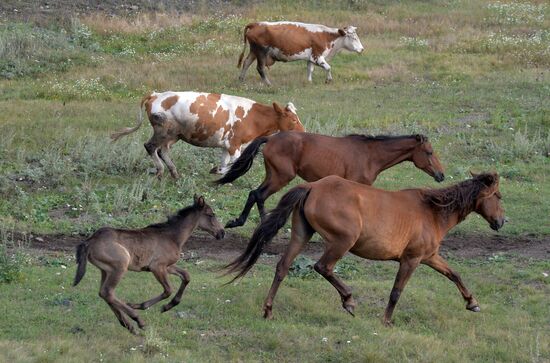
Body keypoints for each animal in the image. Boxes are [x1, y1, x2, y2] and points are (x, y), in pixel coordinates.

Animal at [73, 198, 224, 334]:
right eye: (211, 214)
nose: (222, 233)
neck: (173, 237)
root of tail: (90, 241)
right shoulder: (157, 267)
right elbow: (168, 290)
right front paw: (144, 306)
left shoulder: (167, 266)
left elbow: (186, 276)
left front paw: (168, 306)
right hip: (120, 265)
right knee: (107, 292)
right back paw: (137, 320)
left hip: (105, 270)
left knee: (103, 293)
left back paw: (128, 326)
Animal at [110, 92, 304, 179]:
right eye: (294, 119)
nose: (303, 132)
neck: (254, 116)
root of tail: (155, 94)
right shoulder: (235, 145)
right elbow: (233, 163)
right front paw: (219, 171)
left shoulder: (228, 146)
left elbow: (225, 161)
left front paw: (219, 171)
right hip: (163, 131)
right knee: (151, 147)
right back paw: (160, 170)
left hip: (173, 135)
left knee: (162, 151)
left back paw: (174, 172)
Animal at [218, 132, 446, 229]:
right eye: (429, 152)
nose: (441, 175)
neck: (370, 154)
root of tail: (271, 138)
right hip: (281, 177)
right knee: (258, 194)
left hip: (273, 175)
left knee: (255, 194)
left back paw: (240, 222)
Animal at [226, 173, 506, 328]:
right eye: (499, 196)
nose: (502, 221)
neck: (433, 211)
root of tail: (313, 186)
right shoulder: (411, 260)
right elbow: (396, 292)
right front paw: (387, 321)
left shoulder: (429, 257)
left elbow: (454, 274)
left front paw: (472, 303)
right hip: (342, 241)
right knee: (322, 267)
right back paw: (349, 301)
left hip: (301, 235)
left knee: (282, 267)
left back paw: (268, 311)